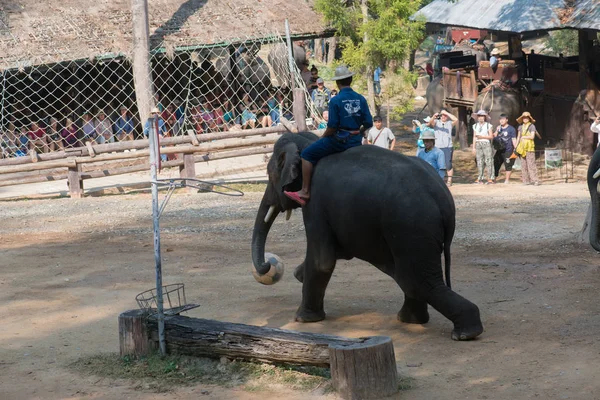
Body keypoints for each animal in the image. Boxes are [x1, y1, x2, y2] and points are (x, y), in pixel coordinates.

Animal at [251, 131, 486, 340]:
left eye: (269, 174)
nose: (269, 264)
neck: (311, 142)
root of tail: (444, 200)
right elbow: (339, 252)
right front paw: (300, 274)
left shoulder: (315, 203)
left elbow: (322, 261)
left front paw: (303, 319)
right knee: (412, 278)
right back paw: (412, 321)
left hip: (411, 227)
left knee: (418, 281)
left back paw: (464, 333)